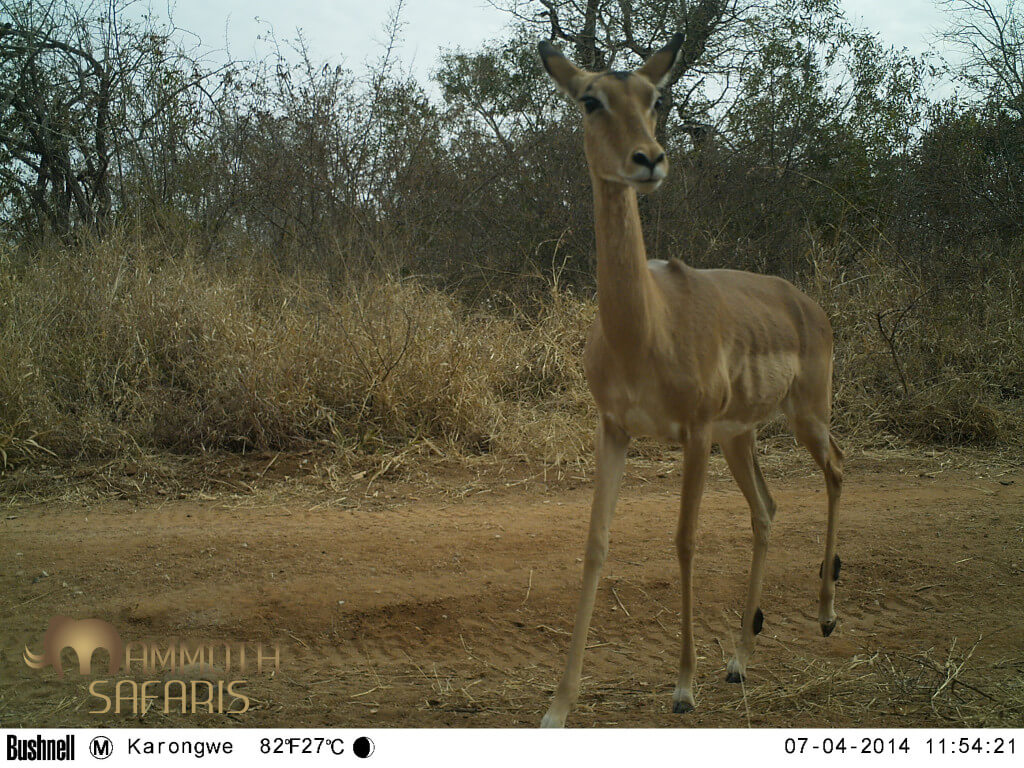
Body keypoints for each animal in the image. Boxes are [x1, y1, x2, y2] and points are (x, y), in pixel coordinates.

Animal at [537, 34, 844, 727]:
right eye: (591, 98)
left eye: (653, 96)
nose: (649, 159)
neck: (644, 329)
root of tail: (807, 304)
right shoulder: (615, 429)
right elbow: (595, 543)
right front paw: (558, 705)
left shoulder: (695, 432)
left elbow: (684, 541)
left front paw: (682, 686)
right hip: (743, 436)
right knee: (767, 510)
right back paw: (740, 657)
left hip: (803, 417)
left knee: (838, 471)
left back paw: (825, 615)